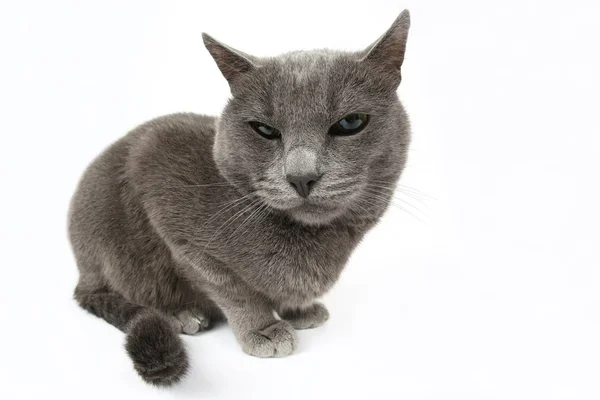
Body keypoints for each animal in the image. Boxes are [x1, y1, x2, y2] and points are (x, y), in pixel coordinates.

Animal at [67, 8, 412, 384]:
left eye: (350, 123)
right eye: (265, 130)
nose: (301, 176)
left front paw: (299, 310)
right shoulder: (163, 190)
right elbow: (233, 288)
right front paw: (263, 329)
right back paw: (180, 315)